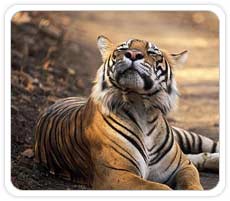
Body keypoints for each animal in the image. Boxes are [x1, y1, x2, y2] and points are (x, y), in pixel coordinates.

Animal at [34, 35, 219, 189]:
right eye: (123, 49)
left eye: (152, 52)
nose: (133, 54)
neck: (141, 106)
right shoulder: (116, 174)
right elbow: (160, 188)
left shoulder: (182, 166)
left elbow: (193, 184)